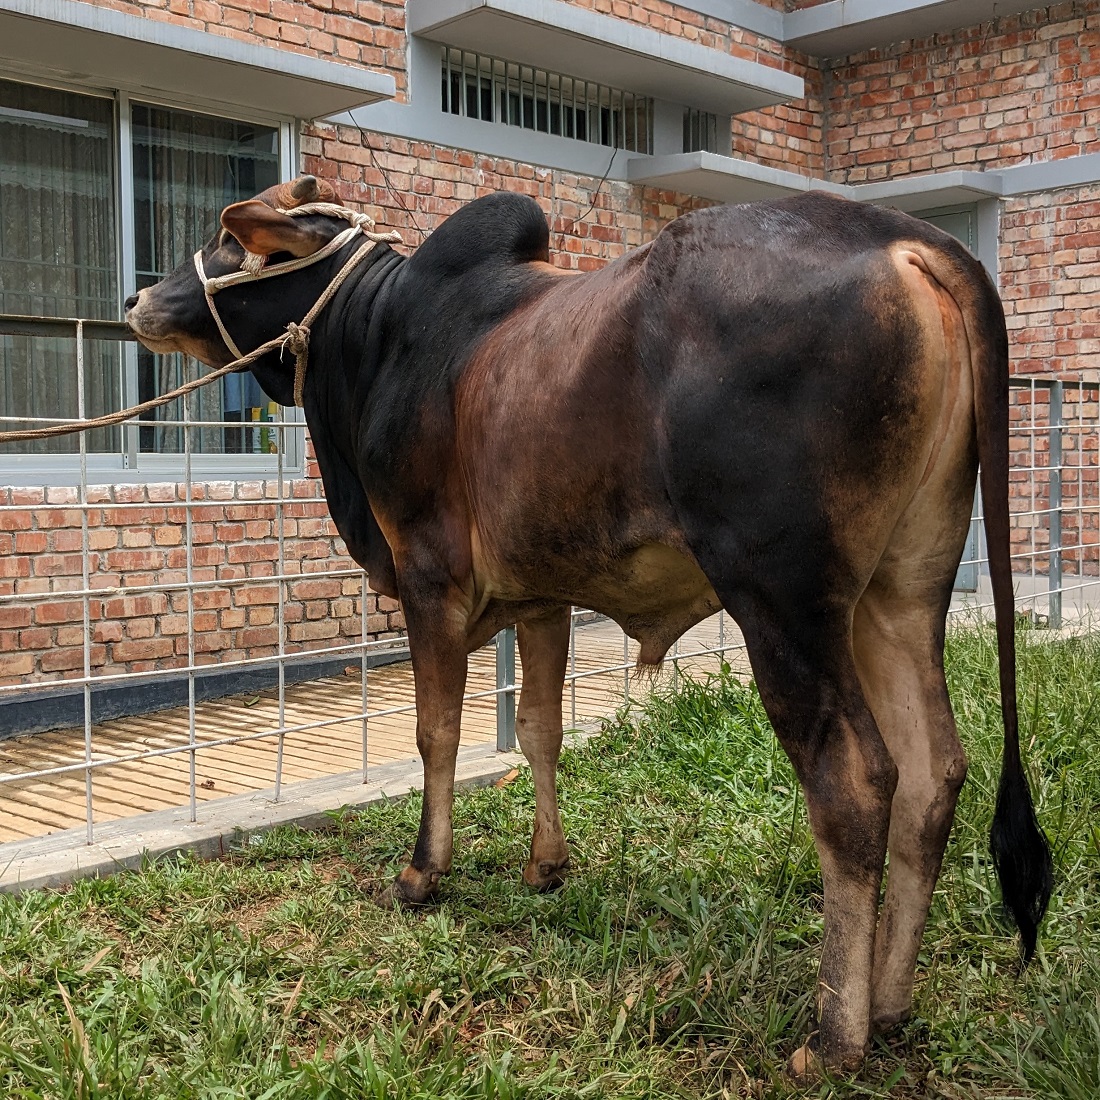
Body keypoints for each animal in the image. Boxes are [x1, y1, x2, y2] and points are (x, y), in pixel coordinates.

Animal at [124, 178, 1051, 1073]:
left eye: (229, 241)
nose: (138, 299)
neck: (378, 337)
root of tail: (902, 238)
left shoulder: (430, 581)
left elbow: (437, 733)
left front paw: (424, 872)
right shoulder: (543, 599)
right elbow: (538, 728)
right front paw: (546, 864)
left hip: (784, 601)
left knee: (856, 783)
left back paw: (834, 1037)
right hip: (903, 590)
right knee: (935, 770)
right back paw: (889, 1006)